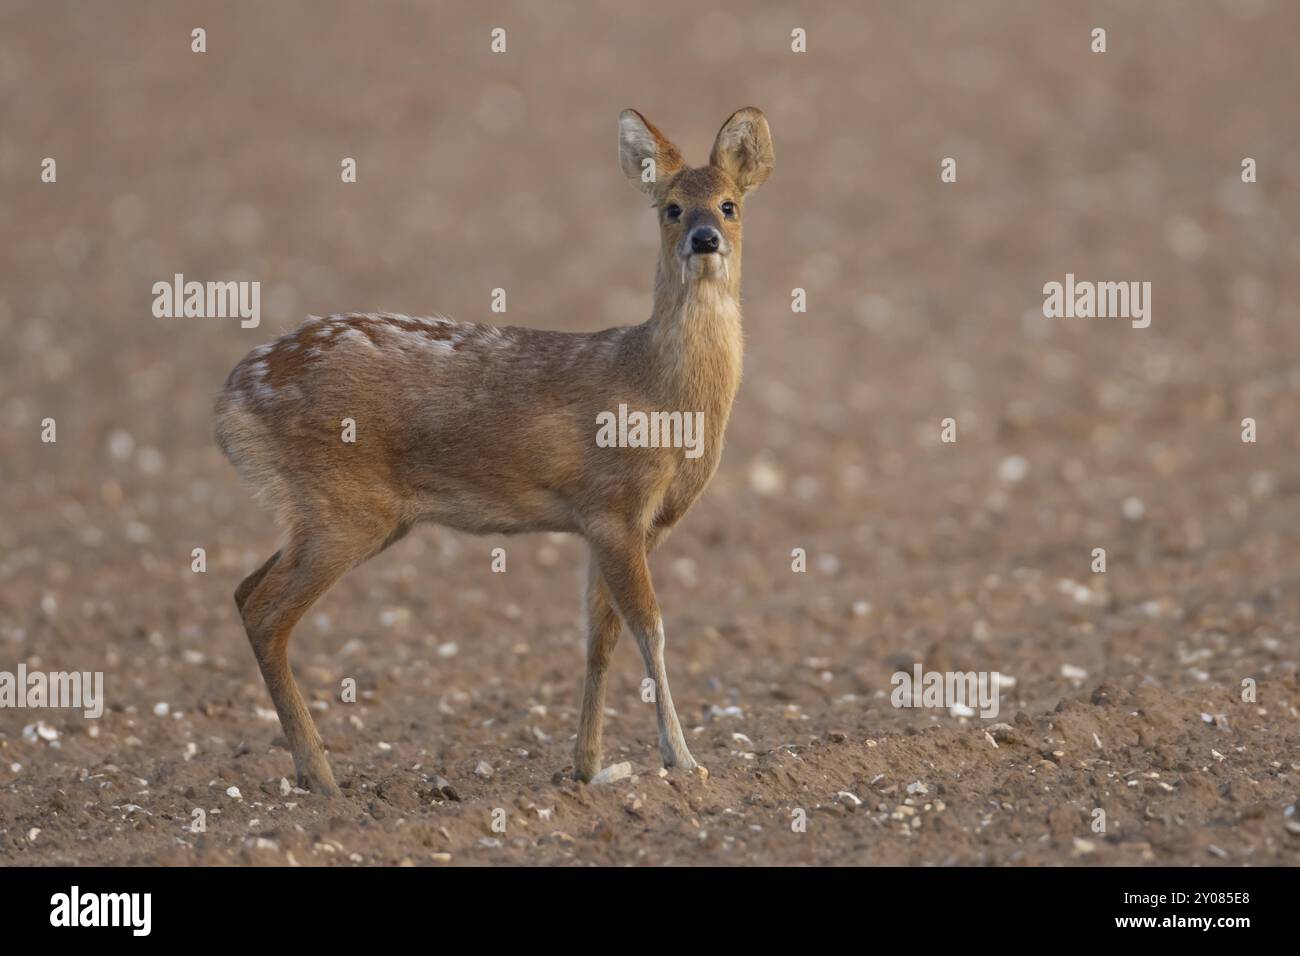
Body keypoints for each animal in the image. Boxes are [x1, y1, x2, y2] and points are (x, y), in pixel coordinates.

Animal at [215, 106, 769, 790]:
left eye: (728, 204)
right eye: (671, 207)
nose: (704, 239)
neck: (664, 397)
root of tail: (232, 401)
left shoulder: (620, 523)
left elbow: (600, 634)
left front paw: (589, 767)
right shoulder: (615, 508)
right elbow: (651, 628)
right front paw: (683, 760)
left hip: (332, 512)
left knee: (245, 591)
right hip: (343, 508)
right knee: (267, 612)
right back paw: (321, 776)